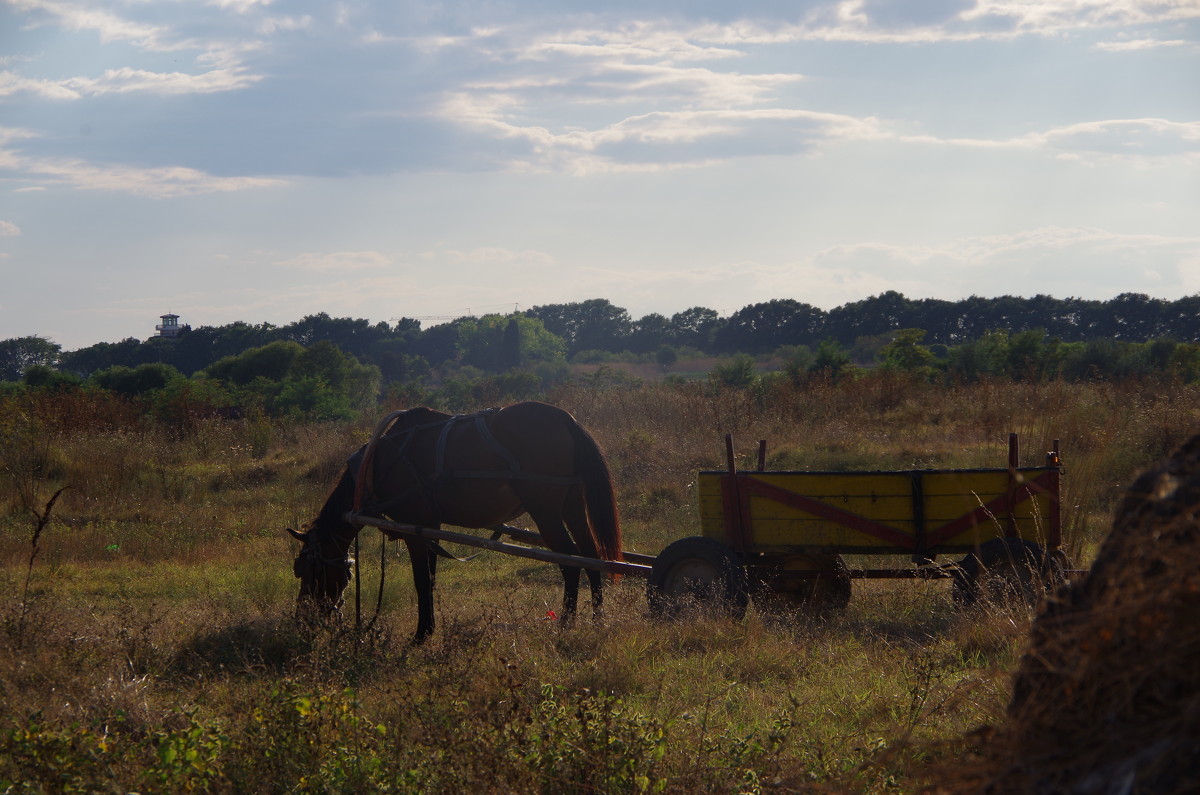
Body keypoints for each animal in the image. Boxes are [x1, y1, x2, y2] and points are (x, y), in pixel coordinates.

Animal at [289, 401, 624, 643]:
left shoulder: (415, 528)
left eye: (307, 569)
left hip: (546, 512)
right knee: (590, 556)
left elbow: (421, 580)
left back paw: (566, 622)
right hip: (572, 506)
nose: (303, 620)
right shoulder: (430, 526)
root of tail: (567, 420)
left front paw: (421, 635)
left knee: (570, 562)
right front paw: (429, 627)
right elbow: (431, 578)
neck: (377, 464)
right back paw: (597, 619)